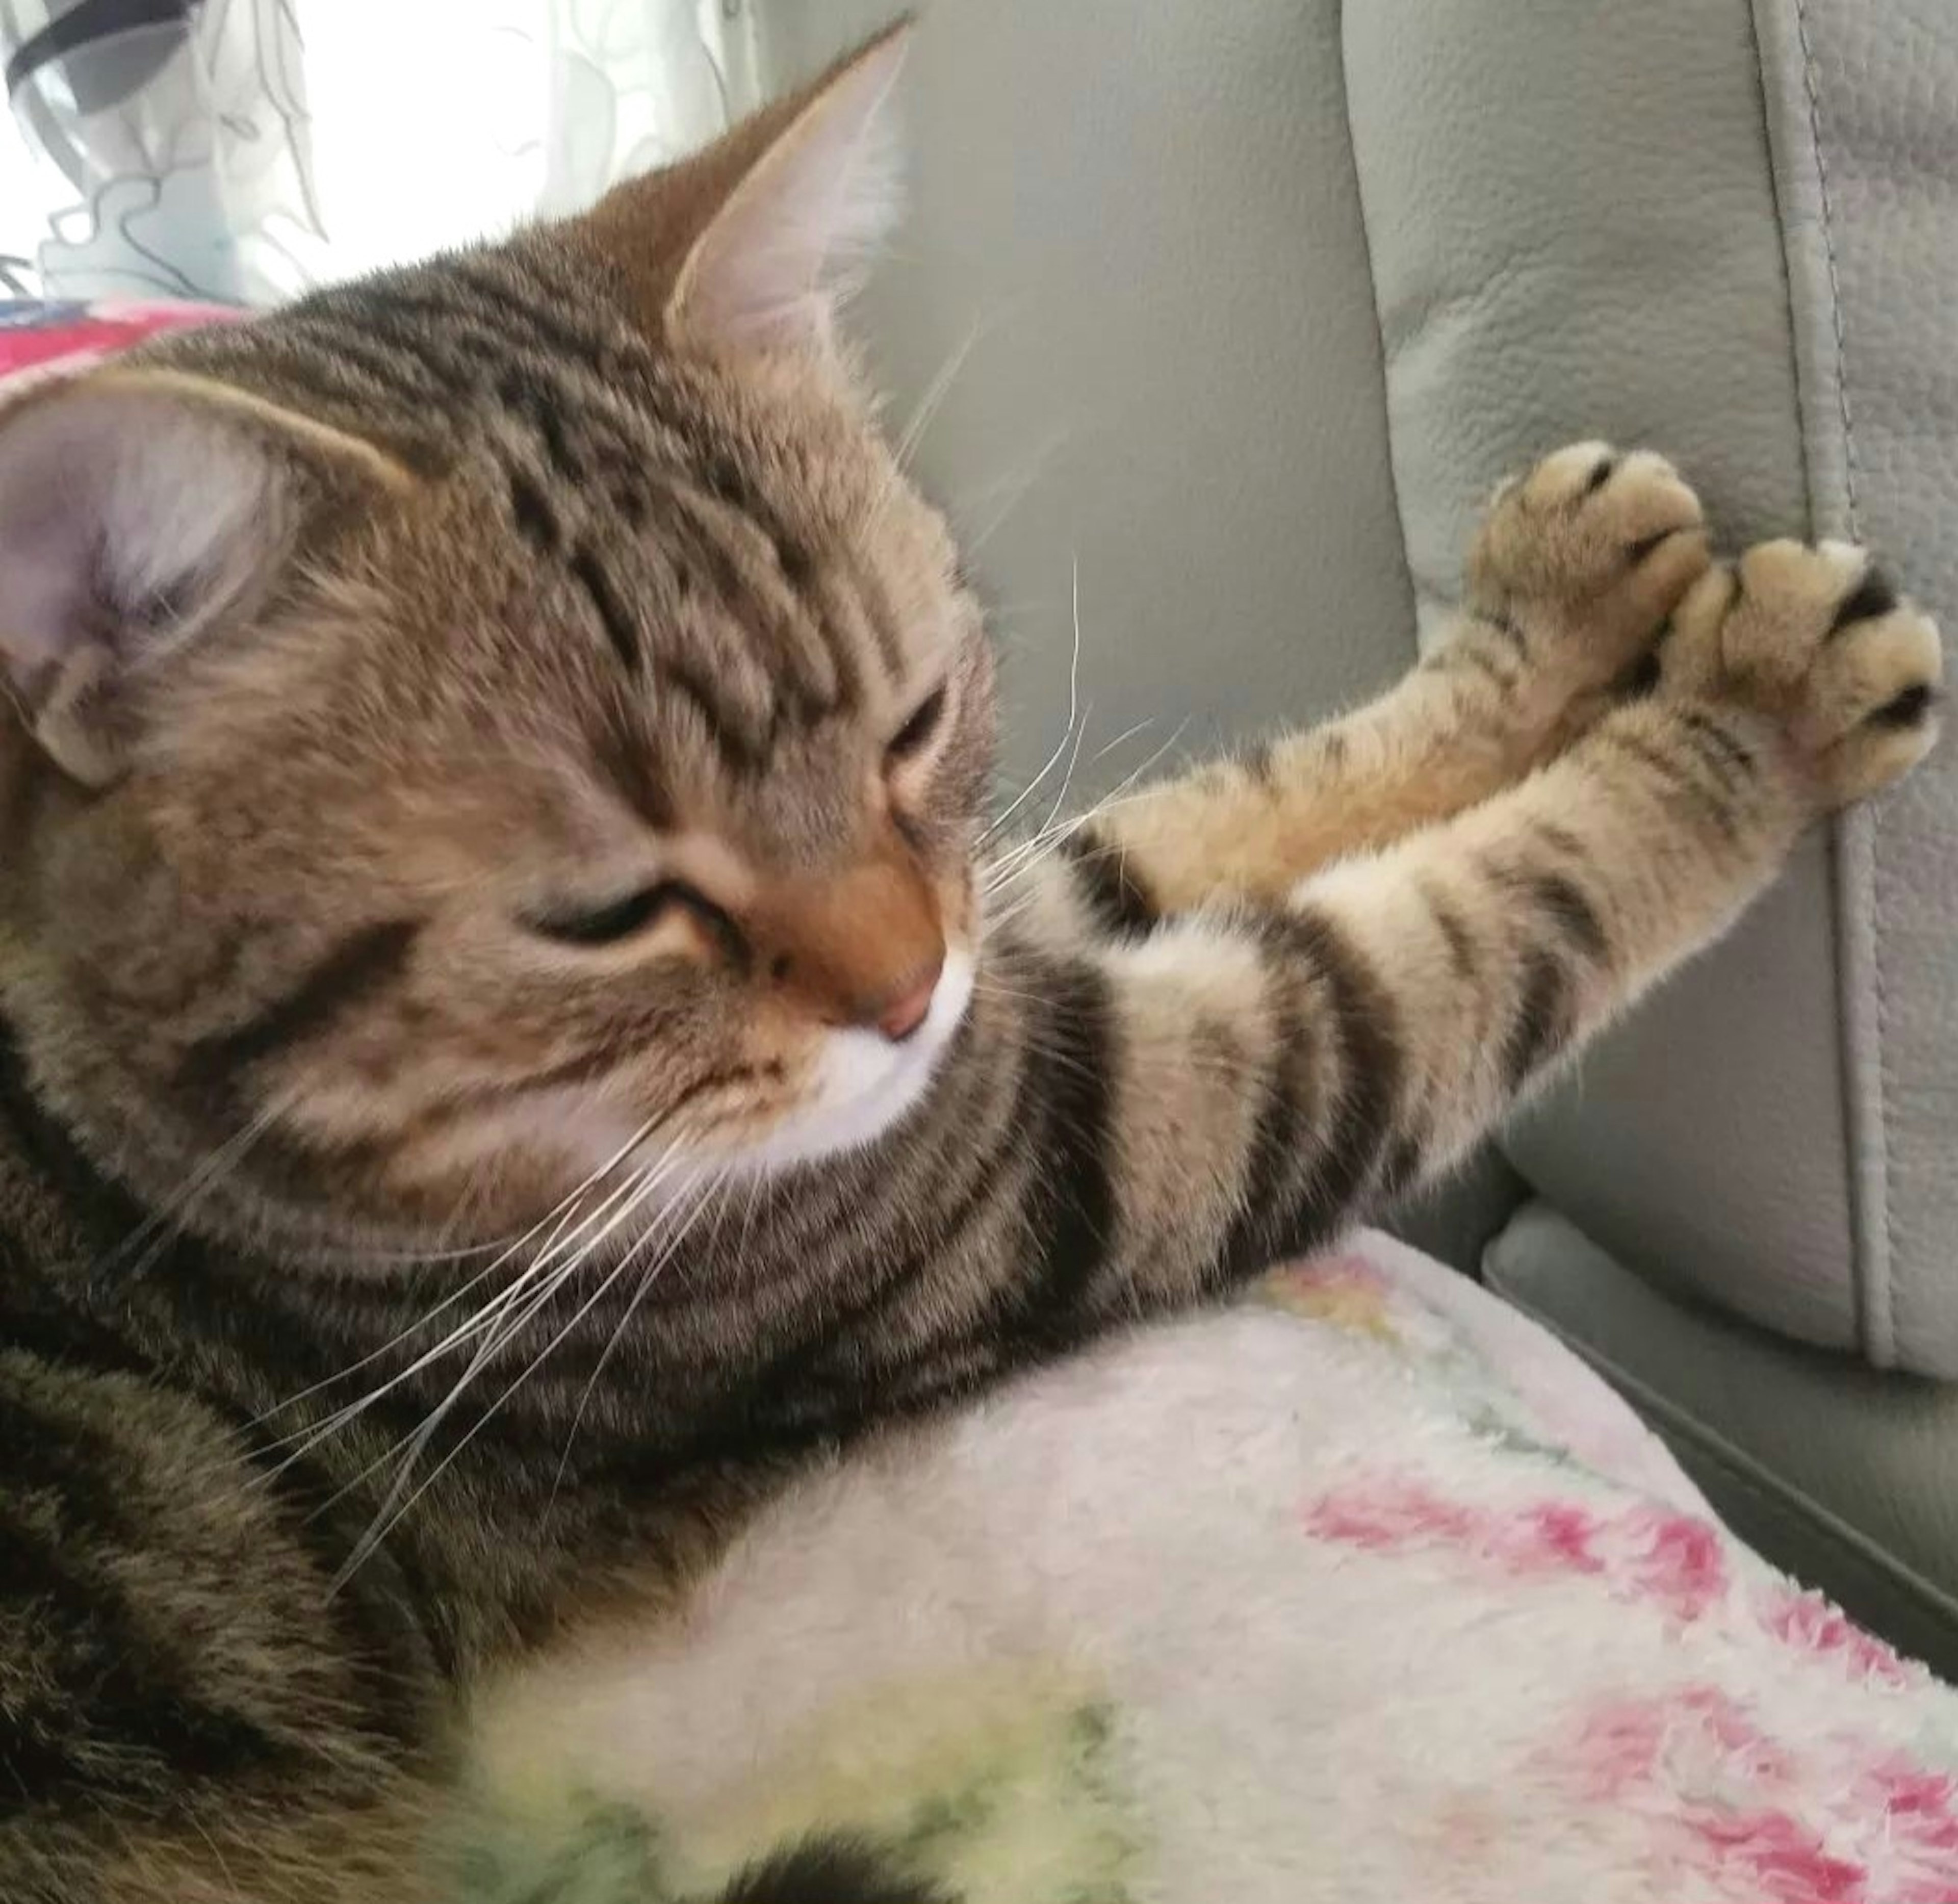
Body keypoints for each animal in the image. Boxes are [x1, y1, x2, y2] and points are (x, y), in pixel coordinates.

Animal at [0, 26, 1934, 1904]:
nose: (899, 990)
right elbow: (1475, 928)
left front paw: (1550, 608)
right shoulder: (1065, 1151)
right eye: (607, 913)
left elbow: (1236, 805)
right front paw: (1748, 704)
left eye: (915, 724)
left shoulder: (1000, 954)